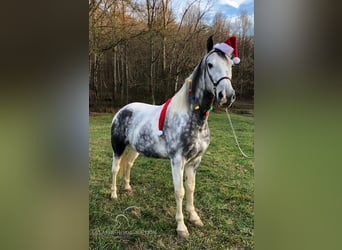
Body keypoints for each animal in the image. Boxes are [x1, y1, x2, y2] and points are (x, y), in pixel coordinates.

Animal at [111, 36, 236, 237]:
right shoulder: (178, 160)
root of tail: (121, 111)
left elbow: (191, 188)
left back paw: (127, 188)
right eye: (210, 64)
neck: (193, 118)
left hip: (134, 149)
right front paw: (181, 227)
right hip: (118, 147)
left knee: (128, 164)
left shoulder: (195, 161)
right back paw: (113, 194)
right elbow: (180, 191)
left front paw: (194, 218)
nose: (227, 96)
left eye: (231, 65)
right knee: (115, 169)